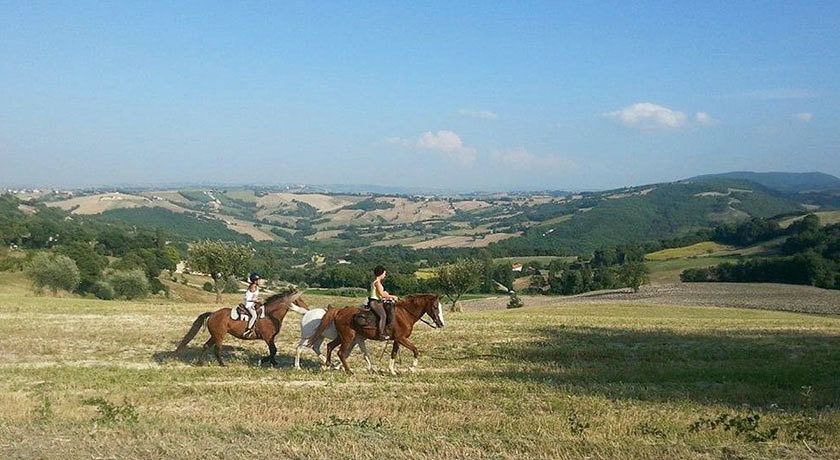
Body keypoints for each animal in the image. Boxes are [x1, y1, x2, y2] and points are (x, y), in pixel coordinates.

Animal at [174, 292, 308, 366]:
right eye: (299, 300)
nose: (307, 309)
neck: (270, 315)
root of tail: (212, 314)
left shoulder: (270, 338)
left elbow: (273, 351)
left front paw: (272, 362)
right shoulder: (268, 338)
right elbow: (273, 350)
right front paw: (263, 361)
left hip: (215, 335)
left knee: (206, 346)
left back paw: (200, 363)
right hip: (219, 335)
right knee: (217, 349)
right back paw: (222, 364)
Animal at [312, 294, 446, 374]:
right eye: (435, 307)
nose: (441, 323)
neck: (405, 313)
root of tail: (339, 311)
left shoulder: (397, 340)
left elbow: (393, 354)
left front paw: (392, 371)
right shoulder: (401, 338)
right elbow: (415, 350)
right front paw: (411, 368)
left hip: (342, 337)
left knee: (330, 346)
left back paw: (327, 365)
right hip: (348, 337)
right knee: (340, 352)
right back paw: (349, 371)